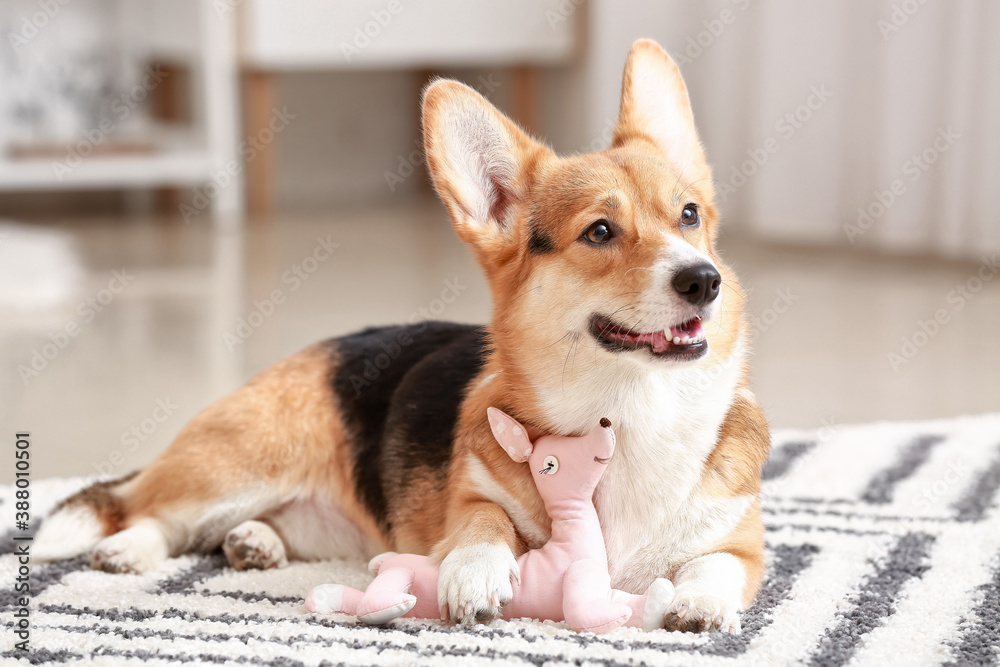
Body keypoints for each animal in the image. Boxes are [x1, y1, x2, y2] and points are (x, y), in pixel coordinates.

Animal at [31, 39, 764, 636]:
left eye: (689, 215)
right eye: (600, 232)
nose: (703, 281)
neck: (631, 409)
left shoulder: (745, 546)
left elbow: (714, 566)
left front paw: (699, 605)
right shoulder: (471, 499)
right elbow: (483, 524)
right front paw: (474, 572)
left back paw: (255, 543)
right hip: (235, 466)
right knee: (145, 507)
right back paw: (131, 548)